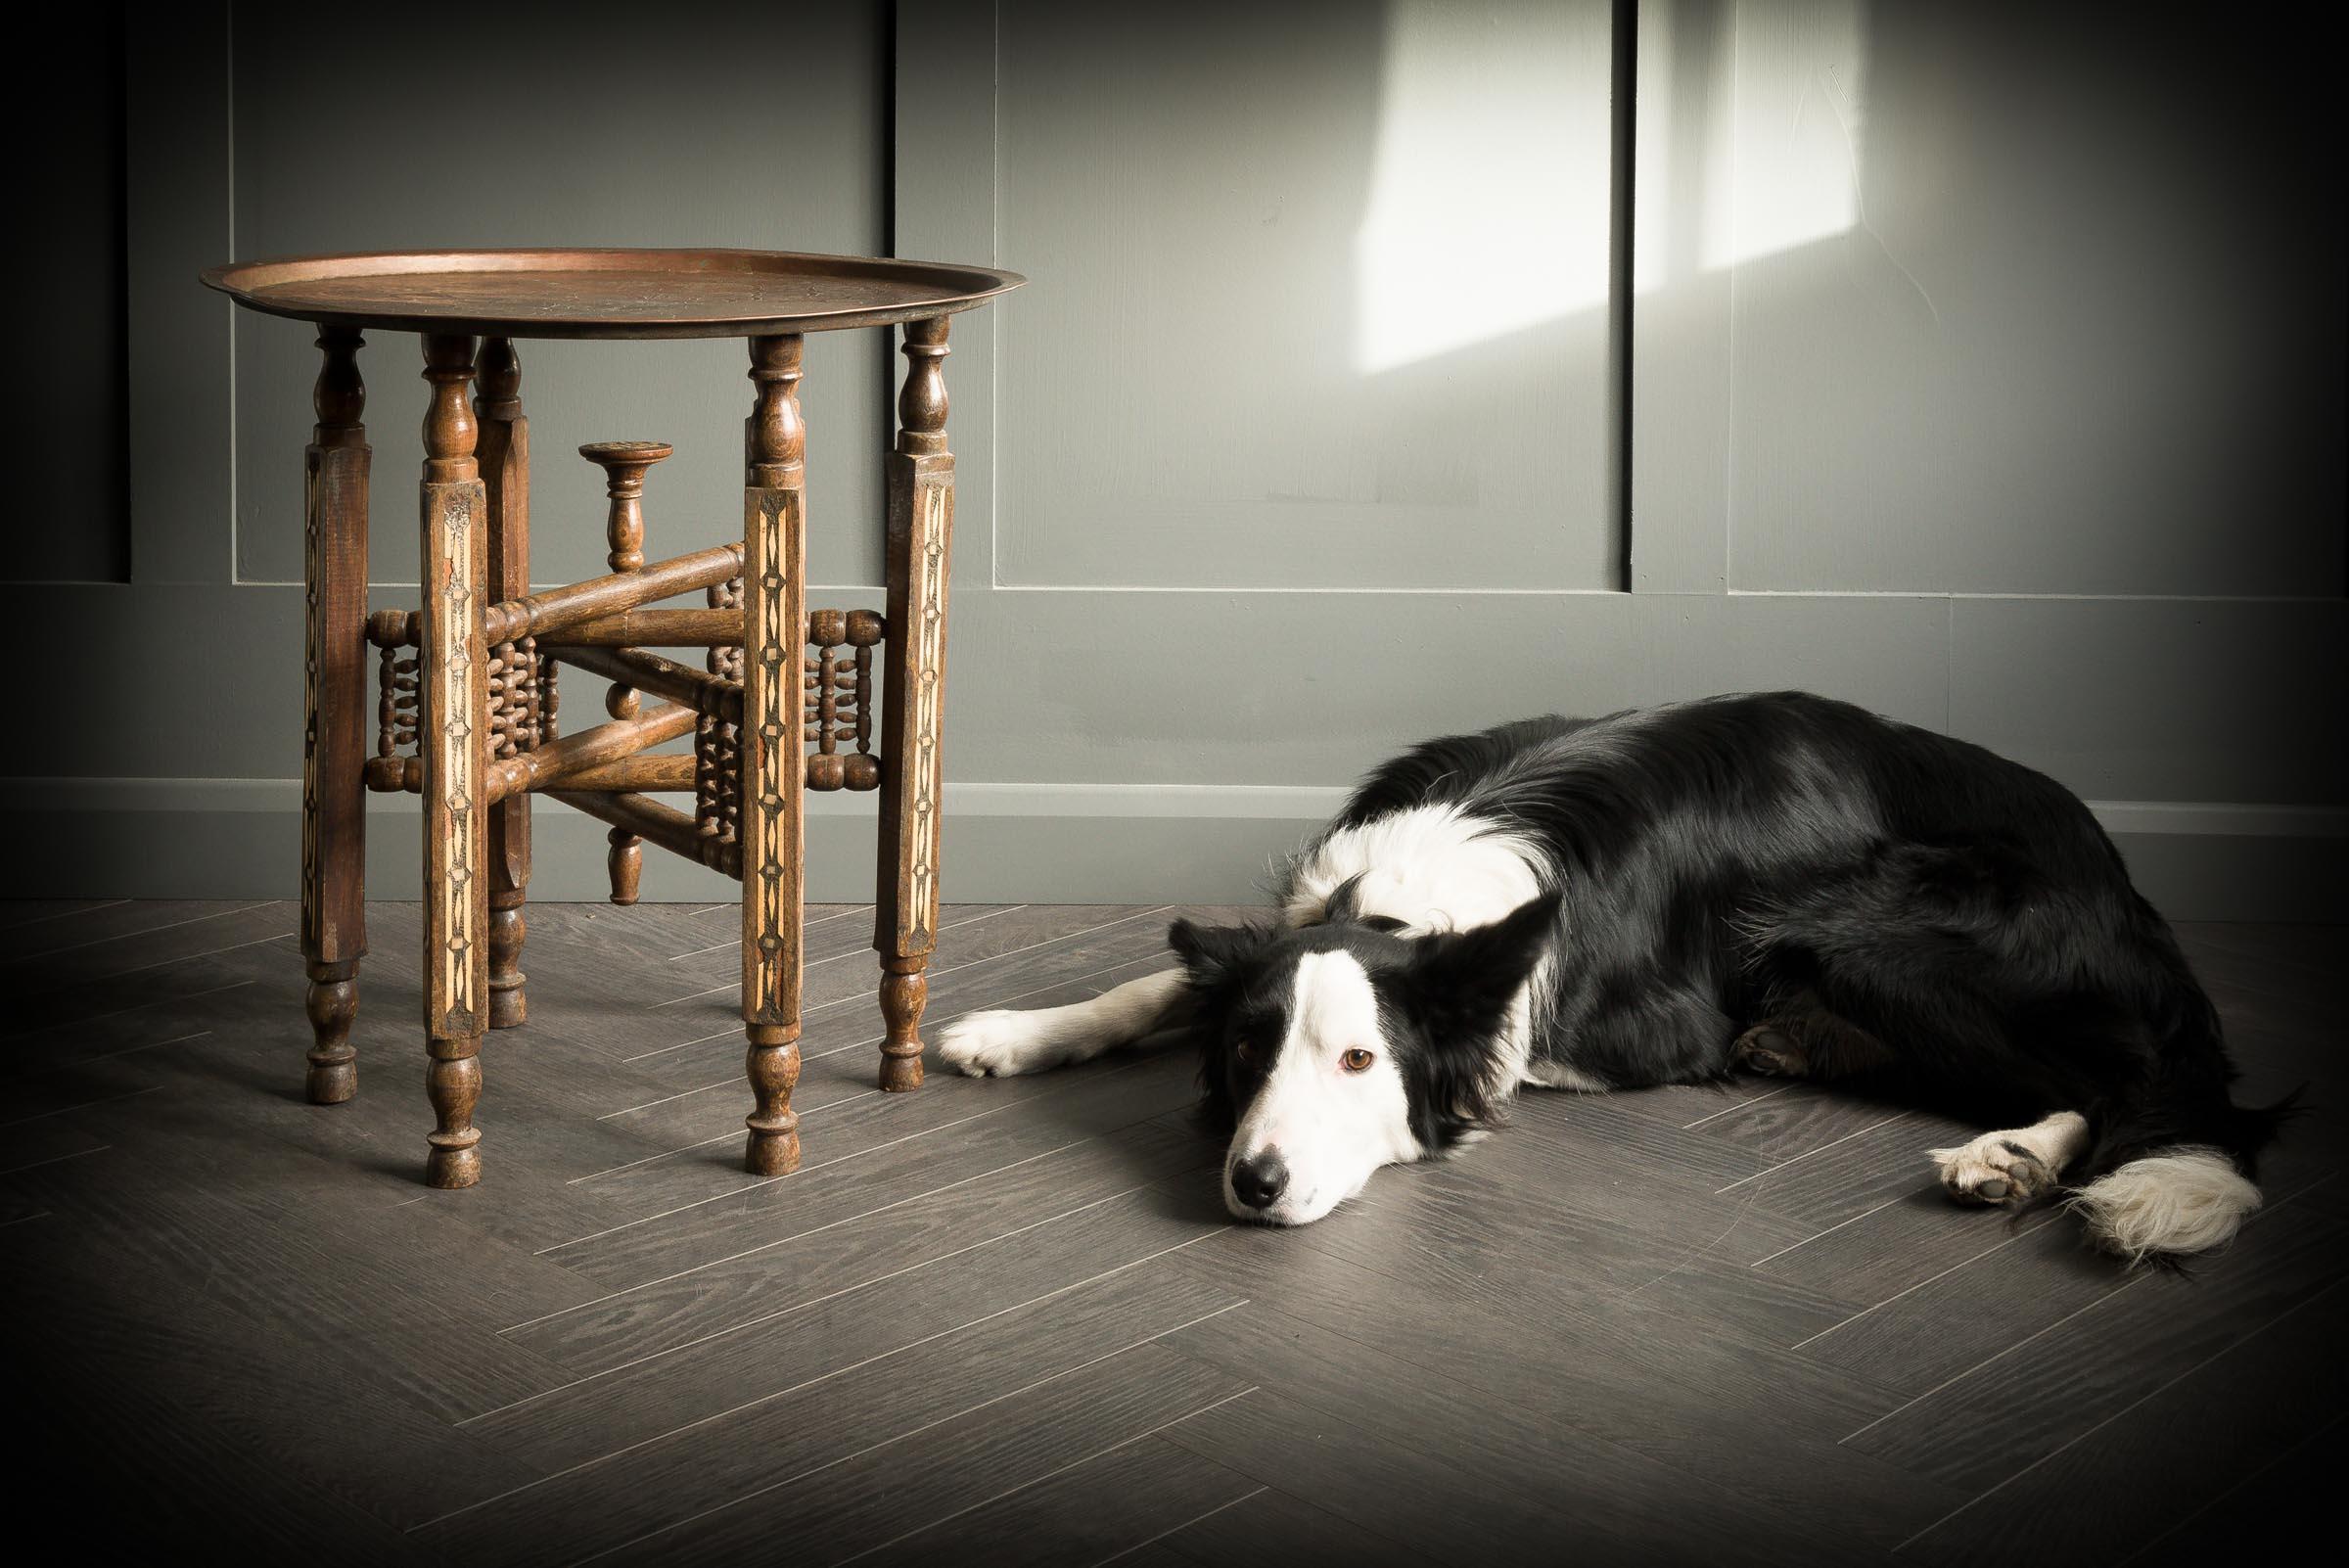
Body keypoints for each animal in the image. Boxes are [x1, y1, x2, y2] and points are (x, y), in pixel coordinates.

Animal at [940, 690, 2292, 1258]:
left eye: (1362, 1060)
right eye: (1247, 1053)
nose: (1254, 1184)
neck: (1410, 888)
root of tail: (2115, 871)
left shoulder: (1639, 1029)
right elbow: (1161, 983)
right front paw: (1016, 1028)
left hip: (1872, 930)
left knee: (2132, 1080)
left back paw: (2008, 1152)